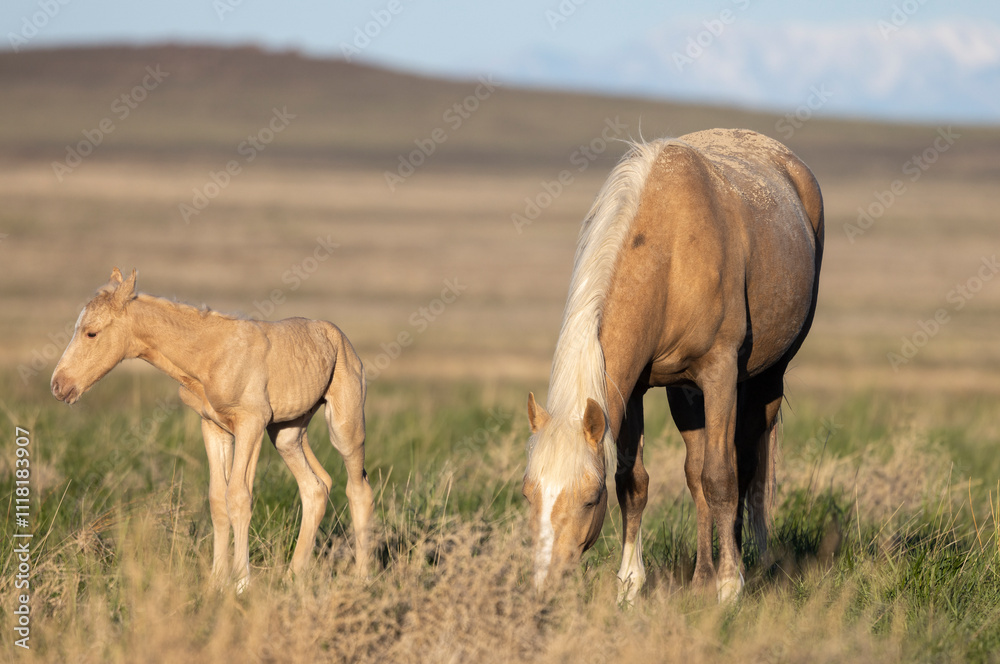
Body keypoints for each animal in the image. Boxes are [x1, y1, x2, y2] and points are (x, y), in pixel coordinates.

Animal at [51, 268, 374, 593]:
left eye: (91, 332)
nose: (59, 386)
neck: (209, 355)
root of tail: (336, 335)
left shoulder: (251, 424)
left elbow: (239, 496)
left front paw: (242, 583)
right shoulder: (213, 427)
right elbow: (218, 499)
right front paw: (217, 581)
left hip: (344, 427)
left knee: (358, 488)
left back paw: (361, 578)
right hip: (287, 432)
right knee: (316, 486)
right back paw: (292, 577)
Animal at [522, 128, 824, 603]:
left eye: (590, 497)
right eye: (527, 494)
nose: (544, 590)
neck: (670, 253)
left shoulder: (720, 372)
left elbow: (723, 478)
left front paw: (730, 587)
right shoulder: (633, 389)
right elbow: (635, 483)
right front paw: (629, 585)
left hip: (766, 379)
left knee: (748, 471)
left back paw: (749, 563)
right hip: (686, 394)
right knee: (696, 475)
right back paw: (700, 577)